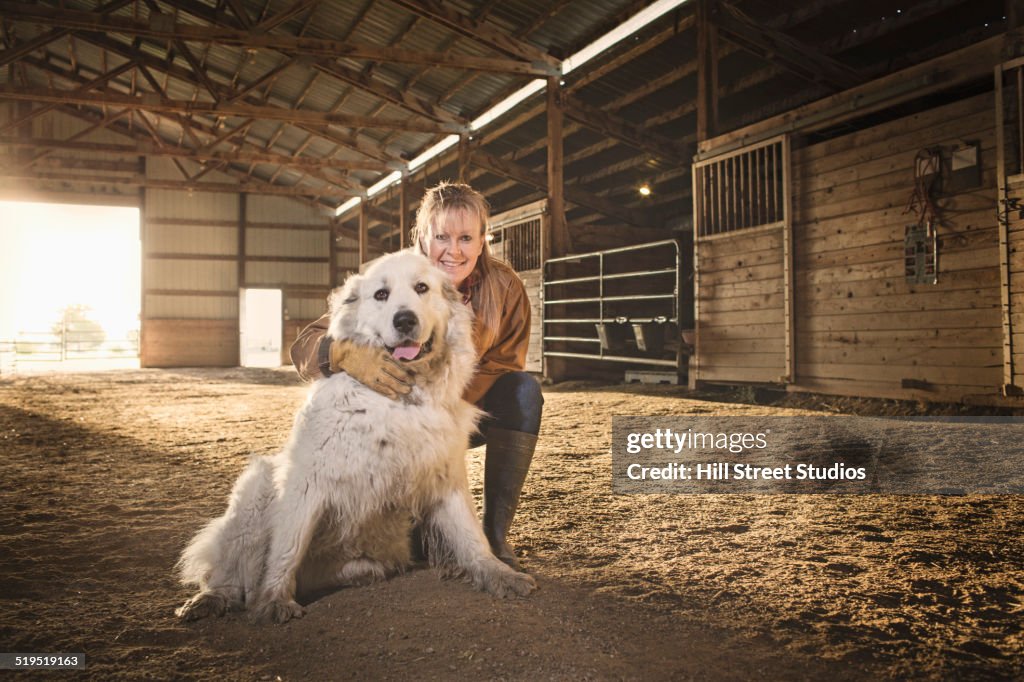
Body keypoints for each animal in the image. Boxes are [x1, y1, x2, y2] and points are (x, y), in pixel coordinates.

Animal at [178, 249, 536, 622]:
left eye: (422, 288)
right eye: (381, 294)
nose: (404, 320)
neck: (401, 401)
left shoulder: (444, 476)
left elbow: (472, 536)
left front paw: (499, 574)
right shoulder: (307, 484)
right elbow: (287, 547)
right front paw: (275, 600)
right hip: (254, 491)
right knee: (231, 570)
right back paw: (209, 599)